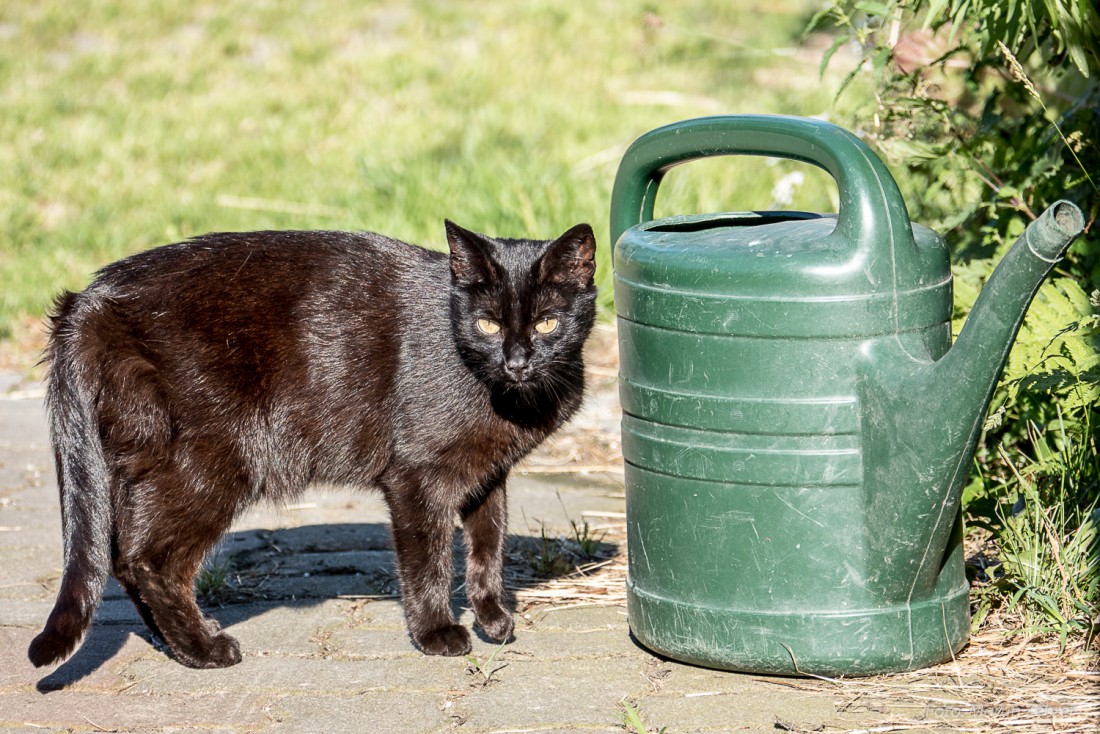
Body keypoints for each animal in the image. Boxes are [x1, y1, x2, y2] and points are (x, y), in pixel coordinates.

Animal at [27, 221, 594, 669]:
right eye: (488, 324)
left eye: (547, 322)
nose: (516, 361)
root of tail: (88, 298)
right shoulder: (417, 477)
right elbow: (428, 560)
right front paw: (435, 633)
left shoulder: (487, 474)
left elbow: (488, 547)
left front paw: (494, 619)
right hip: (210, 464)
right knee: (146, 560)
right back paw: (205, 650)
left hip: (148, 461)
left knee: (124, 554)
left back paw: (181, 645)